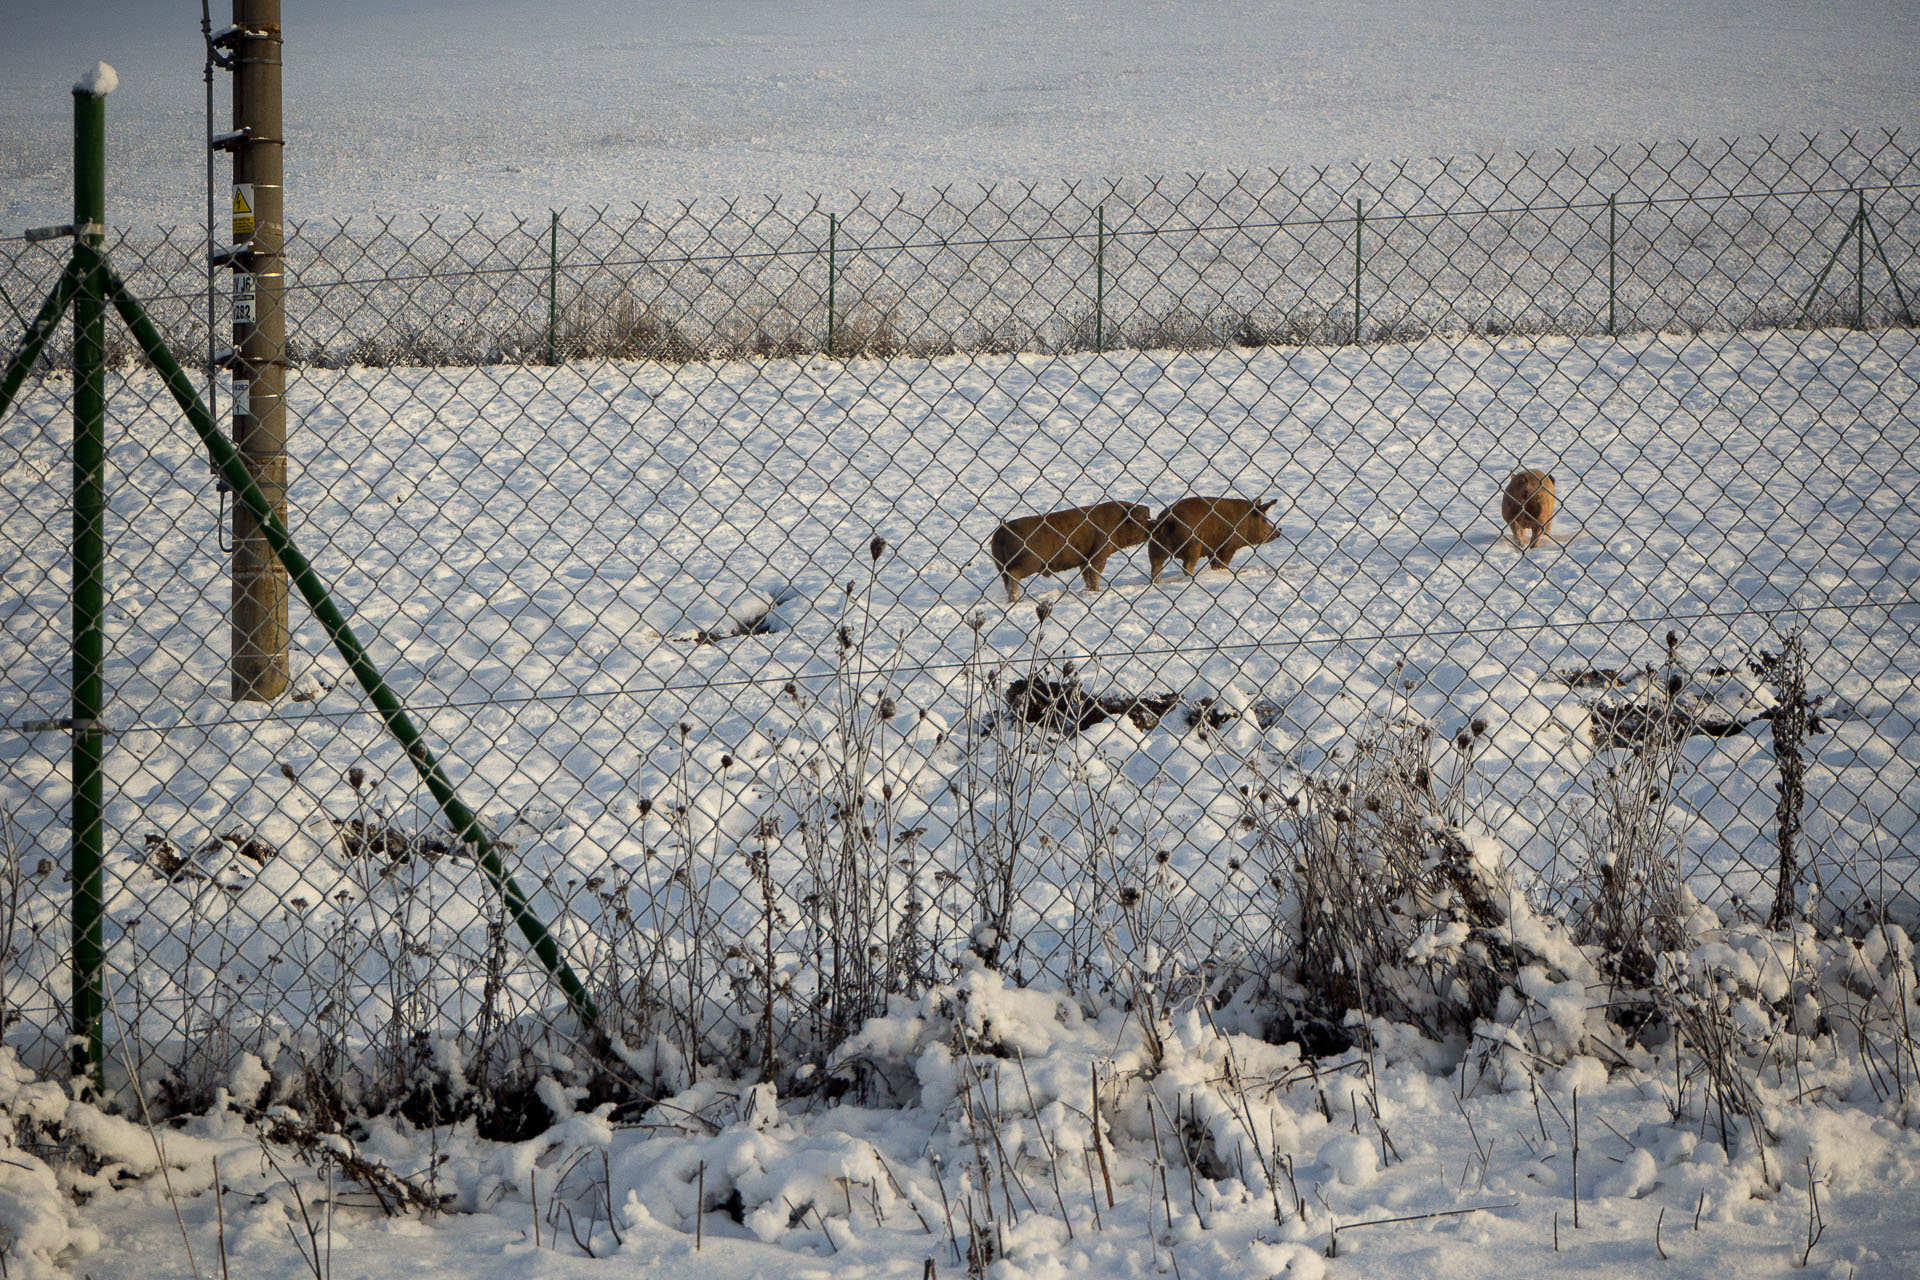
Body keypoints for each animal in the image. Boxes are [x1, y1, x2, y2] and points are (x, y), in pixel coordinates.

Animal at [998, 498, 1144, 602]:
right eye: (1142, 519)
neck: (1116, 522)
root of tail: (1003, 529)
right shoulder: (1098, 554)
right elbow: (1095, 574)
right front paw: (1096, 592)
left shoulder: (1085, 561)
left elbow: (1087, 576)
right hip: (1029, 562)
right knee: (1013, 575)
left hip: (1002, 567)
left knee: (1006, 582)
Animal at [1144, 498, 1282, 583]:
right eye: (1264, 519)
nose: (1279, 531)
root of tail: (1167, 519)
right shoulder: (1228, 546)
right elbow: (1223, 563)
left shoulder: (1213, 550)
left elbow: (1214, 564)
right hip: (1193, 544)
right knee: (1186, 566)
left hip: (1154, 547)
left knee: (1155, 568)